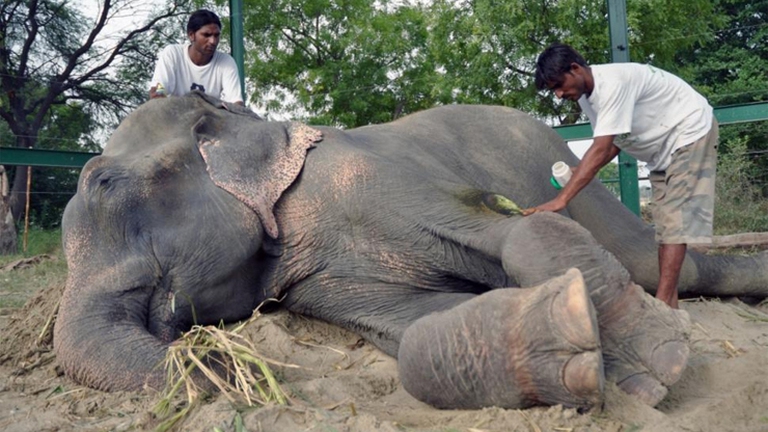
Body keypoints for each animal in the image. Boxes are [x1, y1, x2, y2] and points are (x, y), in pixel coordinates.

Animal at [54, 92, 768, 411]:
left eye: (104, 183)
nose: (221, 367)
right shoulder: (318, 279)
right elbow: (418, 331)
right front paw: (573, 348)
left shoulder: (368, 176)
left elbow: (514, 229)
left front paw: (658, 365)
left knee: (661, 259)